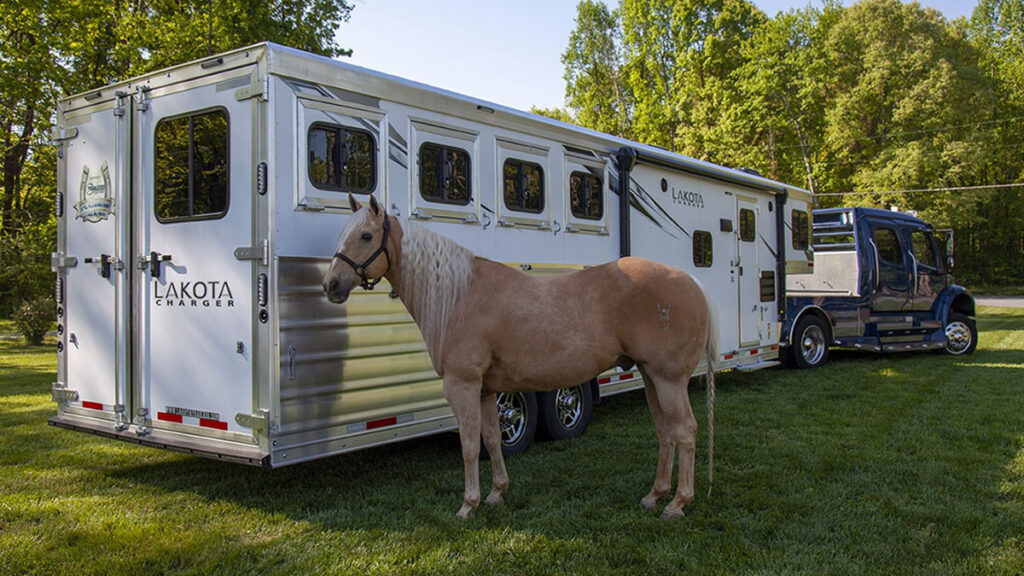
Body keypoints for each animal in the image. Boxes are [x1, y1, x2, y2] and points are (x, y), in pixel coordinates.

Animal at [323, 194, 718, 520]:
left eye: (366, 236)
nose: (331, 285)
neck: (459, 295)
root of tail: (692, 282)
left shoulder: (462, 385)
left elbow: (469, 444)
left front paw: (468, 504)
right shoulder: (486, 390)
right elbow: (492, 438)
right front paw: (497, 493)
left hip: (669, 380)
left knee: (685, 431)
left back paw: (677, 504)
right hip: (652, 377)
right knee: (665, 432)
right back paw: (654, 496)